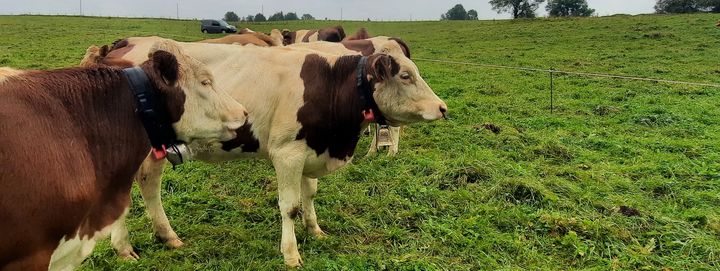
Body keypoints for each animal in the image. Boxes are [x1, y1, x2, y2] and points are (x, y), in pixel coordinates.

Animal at [83, 37, 444, 268]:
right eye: (406, 75)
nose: (443, 108)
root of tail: (113, 49)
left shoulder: (310, 150)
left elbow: (310, 193)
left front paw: (315, 229)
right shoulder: (287, 153)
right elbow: (289, 206)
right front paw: (291, 254)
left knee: (149, 183)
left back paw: (167, 236)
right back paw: (124, 248)